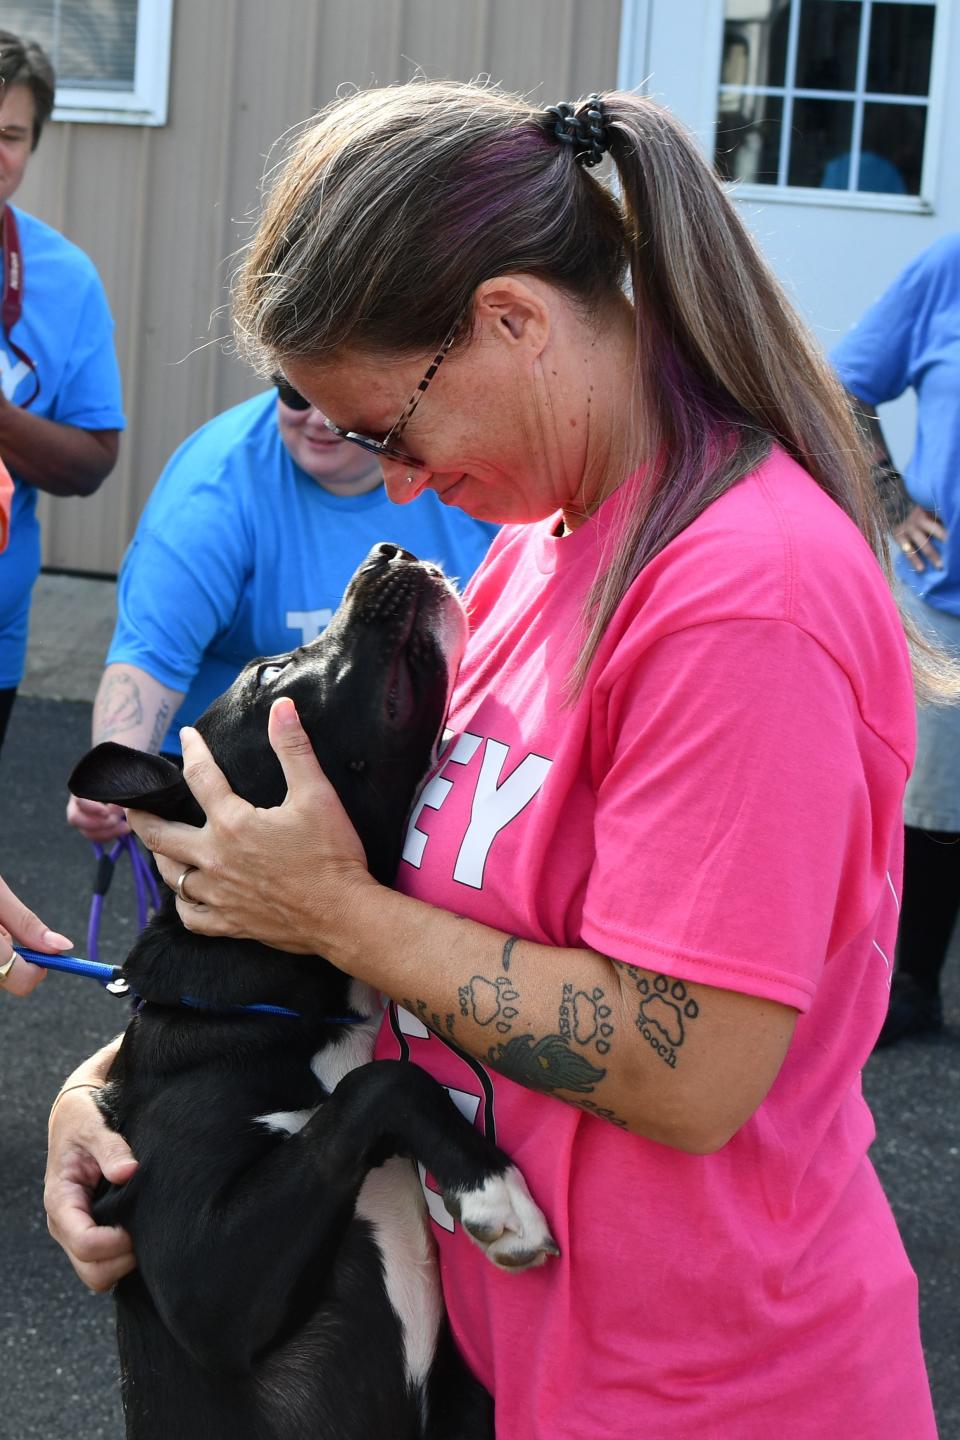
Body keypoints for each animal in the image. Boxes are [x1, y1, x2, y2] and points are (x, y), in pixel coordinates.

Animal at [69, 544, 555, 1440]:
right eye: (267, 672)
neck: (297, 995)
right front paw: (492, 1188)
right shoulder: (208, 1283)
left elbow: (375, 1084)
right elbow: (382, 1083)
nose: (387, 551)